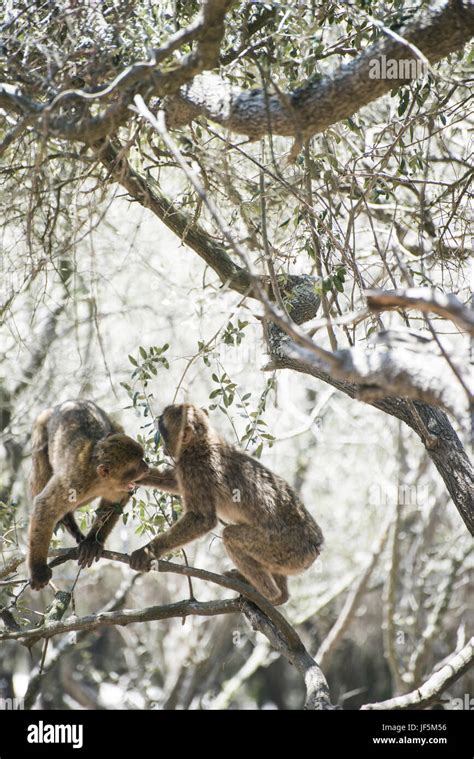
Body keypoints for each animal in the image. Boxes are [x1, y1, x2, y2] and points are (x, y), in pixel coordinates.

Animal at [28, 400, 150, 591]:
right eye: (135, 466)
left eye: (142, 459)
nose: (147, 467)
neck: (99, 480)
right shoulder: (73, 482)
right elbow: (44, 506)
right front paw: (38, 570)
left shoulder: (117, 489)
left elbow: (115, 504)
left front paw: (93, 542)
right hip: (41, 428)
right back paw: (67, 521)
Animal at [130, 404, 324, 605]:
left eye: (162, 428)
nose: (162, 445)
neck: (201, 443)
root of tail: (317, 546)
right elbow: (175, 482)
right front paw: (137, 474)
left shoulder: (194, 467)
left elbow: (202, 519)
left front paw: (149, 551)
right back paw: (281, 596)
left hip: (285, 548)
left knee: (230, 535)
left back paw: (270, 595)